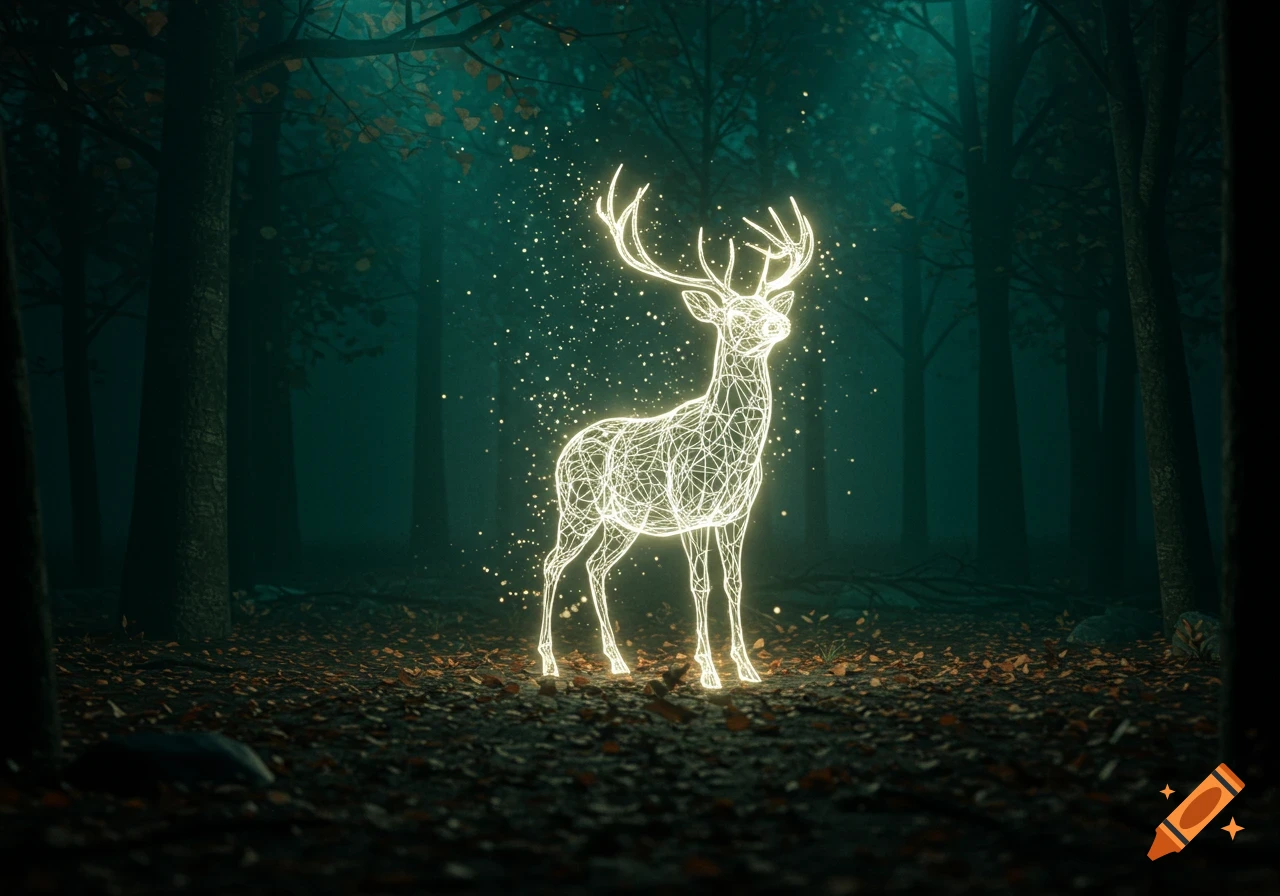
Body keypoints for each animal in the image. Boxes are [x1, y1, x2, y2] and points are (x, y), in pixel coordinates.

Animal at [537, 165, 815, 689]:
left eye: (768, 306)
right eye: (735, 314)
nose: (781, 324)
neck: (732, 453)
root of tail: (564, 449)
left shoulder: (735, 514)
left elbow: (735, 584)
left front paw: (748, 670)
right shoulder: (691, 510)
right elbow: (699, 585)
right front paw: (708, 672)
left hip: (621, 521)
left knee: (596, 568)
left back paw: (618, 661)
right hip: (578, 506)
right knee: (551, 563)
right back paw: (547, 662)